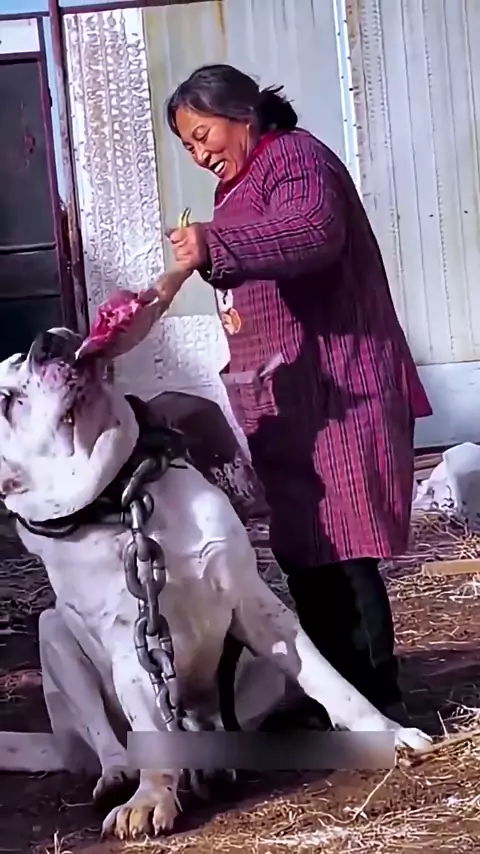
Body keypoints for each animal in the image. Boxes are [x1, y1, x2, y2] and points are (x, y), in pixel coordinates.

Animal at [0, 328, 431, 840]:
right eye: (5, 401)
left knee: (219, 722)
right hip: (55, 635)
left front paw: (389, 735)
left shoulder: (258, 607)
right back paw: (119, 774)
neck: (127, 500)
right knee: (107, 738)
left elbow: (334, 684)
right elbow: (151, 733)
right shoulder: (131, 648)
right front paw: (148, 800)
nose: (48, 341)